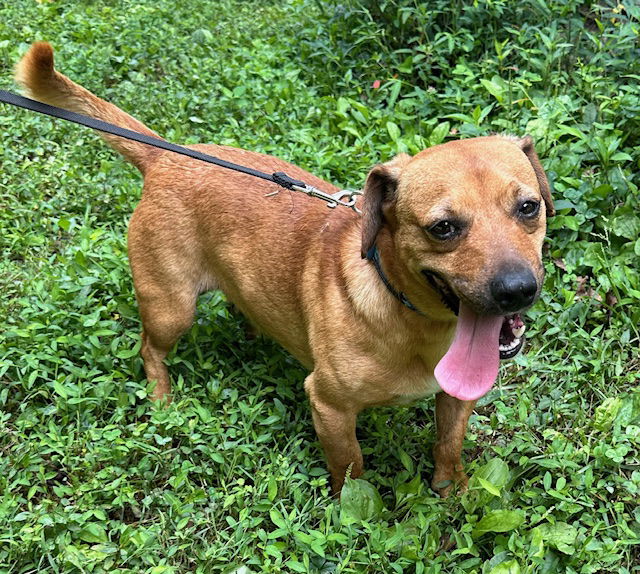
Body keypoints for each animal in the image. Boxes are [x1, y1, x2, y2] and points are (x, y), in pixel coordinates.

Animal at [16, 42, 556, 498]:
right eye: (443, 228)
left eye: (529, 207)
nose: (517, 290)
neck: (412, 315)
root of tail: (166, 158)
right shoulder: (330, 407)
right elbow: (352, 470)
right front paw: (356, 517)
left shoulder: (457, 398)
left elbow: (448, 445)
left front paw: (454, 491)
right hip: (172, 309)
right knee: (150, 348)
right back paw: (161, 397)